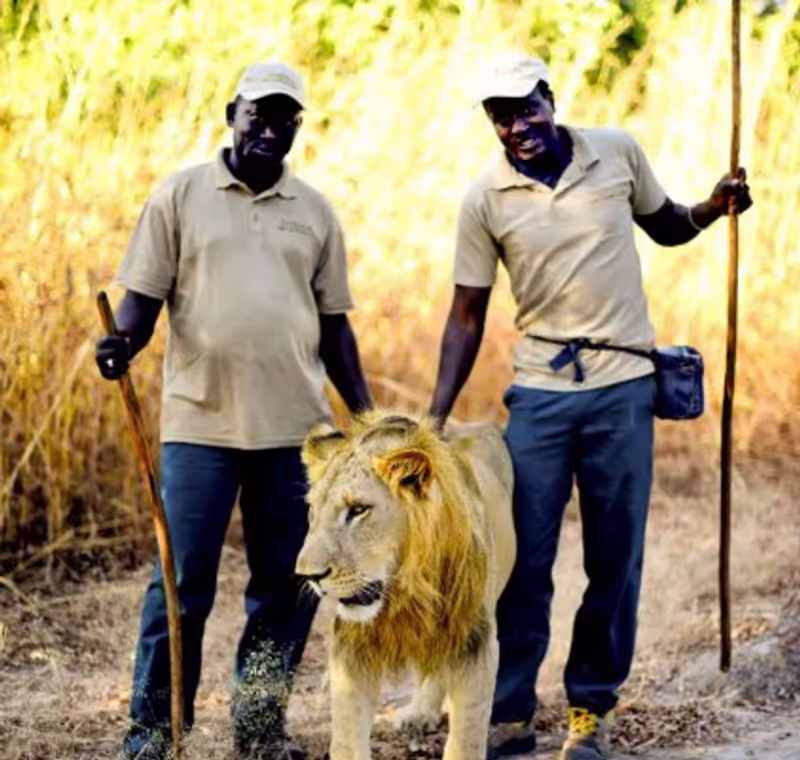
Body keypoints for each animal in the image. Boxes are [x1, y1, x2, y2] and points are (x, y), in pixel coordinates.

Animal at [296, 411, 516, 760]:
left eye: (358, 510)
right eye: (312, 511)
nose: (308, 576)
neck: (404, 588)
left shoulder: (475, 641)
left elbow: (466, 741)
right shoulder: (350, 647)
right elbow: (347, 740)